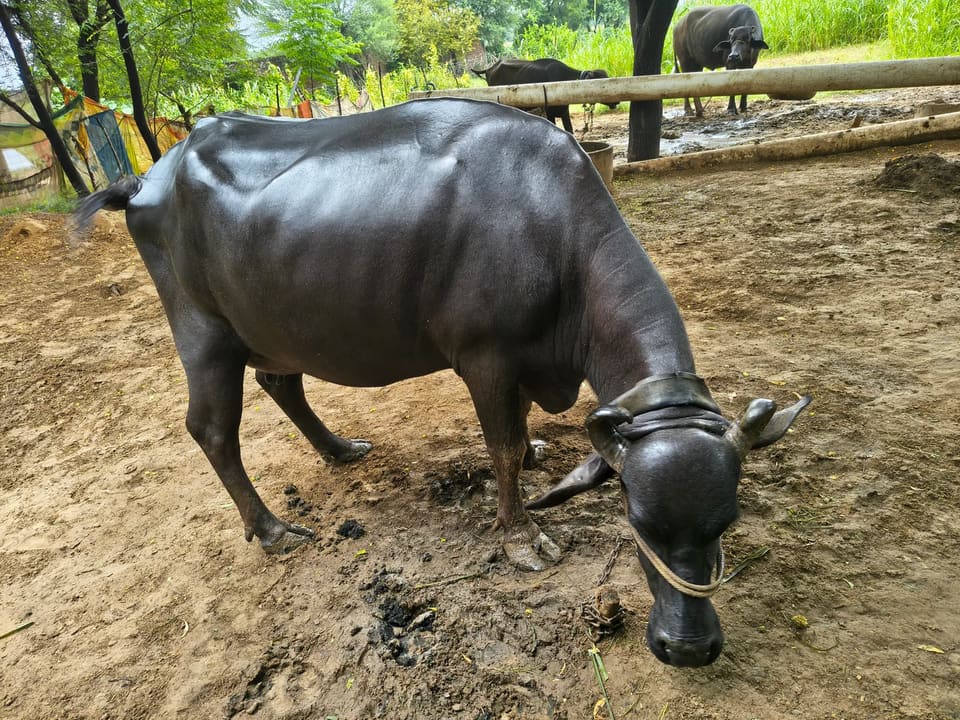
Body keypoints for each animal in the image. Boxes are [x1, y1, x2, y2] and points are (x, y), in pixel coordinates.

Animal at [75, 99, 808, 666]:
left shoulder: (521, 363)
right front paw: (520, 535)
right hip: (203, 333)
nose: (687, 648)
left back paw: (340, 449)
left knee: (283, 383)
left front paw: (538, 457)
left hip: (271, 325)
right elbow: (501, 446)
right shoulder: (487, 356)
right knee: (212, 429)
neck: (551, 230)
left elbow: (521, 430)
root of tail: (149, 177)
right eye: (639, 520)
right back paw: (272, 528)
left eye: (727, 520)